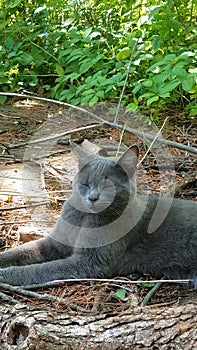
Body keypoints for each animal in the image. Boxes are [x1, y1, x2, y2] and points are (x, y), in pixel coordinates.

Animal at [0, 143, 196, 288]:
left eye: (108, 186)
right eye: (85, 184)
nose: (93, 198)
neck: (84, 218)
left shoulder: (88, 262)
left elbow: (39, 270)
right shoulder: (54, 244)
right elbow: (20, 252)